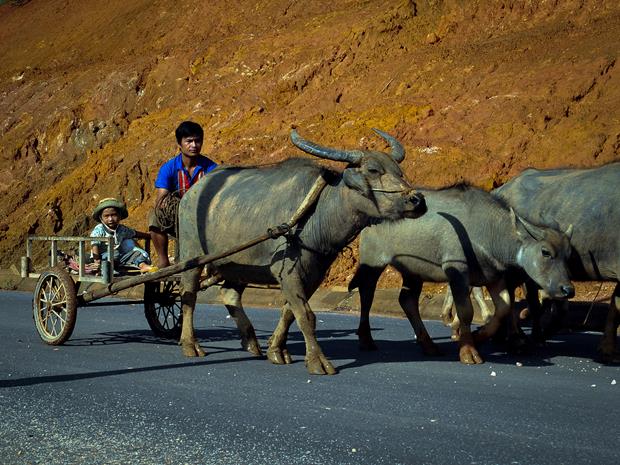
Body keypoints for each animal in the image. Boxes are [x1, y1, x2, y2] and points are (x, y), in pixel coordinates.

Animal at [174, 126, 426, 374]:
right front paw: (317, 361)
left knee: (229, 294)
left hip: (238, 266)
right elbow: (306, 315)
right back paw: (190, 344)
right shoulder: (287, 272)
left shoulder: (313, 274)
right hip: (191, 257)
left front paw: (276, 350)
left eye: (399, 172)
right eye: (373, 170)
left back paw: (252, 343)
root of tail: (189, 195)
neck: (317, 214)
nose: (417, 200)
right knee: (188, 296)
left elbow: (290, 312)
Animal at [346, 184, 572, 362]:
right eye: (545, 252)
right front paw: (468, 351)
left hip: (413, 272)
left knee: (407, 300)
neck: (487, 232)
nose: (568, 289)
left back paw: (429, 345)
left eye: (568, 254)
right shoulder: (458, 273)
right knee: (367, 293)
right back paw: (366, 339)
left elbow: (504, 308)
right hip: (373, 262)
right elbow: (466, 311)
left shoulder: (495, 276)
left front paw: (479, 336)